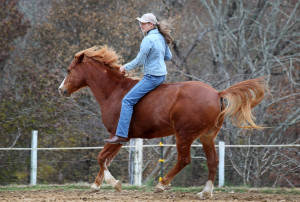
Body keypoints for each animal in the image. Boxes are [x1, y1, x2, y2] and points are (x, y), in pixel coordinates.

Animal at [58, 45, 268, 199]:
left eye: (69, 70)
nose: (61, 90)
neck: (114, 92)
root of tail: (217, 93)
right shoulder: (121, 139)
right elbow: (105, 159)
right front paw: (96, 185)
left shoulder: (117, 135)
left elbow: (101, 158)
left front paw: (114, 184)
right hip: (207, 136)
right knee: (213, 161)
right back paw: (205, 192)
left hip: (184, 134)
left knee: (184, 160)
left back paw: (161, 184)